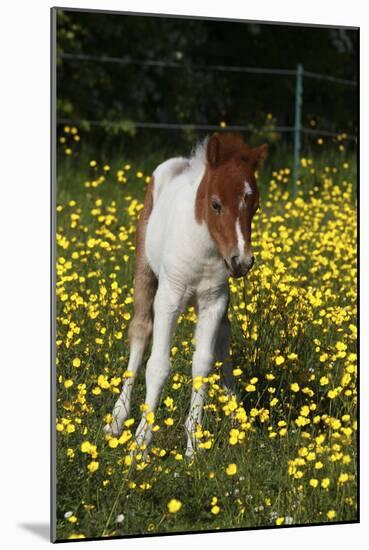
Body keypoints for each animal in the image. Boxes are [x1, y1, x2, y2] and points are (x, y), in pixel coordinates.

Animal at [105, 133, 266, 458]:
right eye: (216, 204)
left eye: (254, 207)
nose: (241, 261)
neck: (205, 249)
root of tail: (180, 162)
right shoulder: (168, 300)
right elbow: (157, 365)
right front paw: (139, 445)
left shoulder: (214, 303)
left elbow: (202, 364)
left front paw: (193, 446)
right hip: (145, 270)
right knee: (140, 330)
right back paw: (117, 418)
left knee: (223, 340)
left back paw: (237, 416)